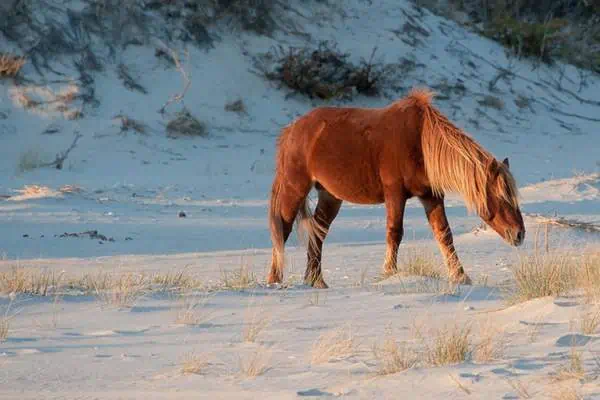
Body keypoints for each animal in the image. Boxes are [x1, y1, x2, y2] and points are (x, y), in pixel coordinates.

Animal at [268, 86, 524, 288]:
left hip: (330, 196)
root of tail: (291, 130)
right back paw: (274, 280)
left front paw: (461, 277)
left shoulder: (431, 197)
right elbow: (394, 233)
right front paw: (389, 273)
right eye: (502, 197)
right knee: (283, 228)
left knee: (318, 232)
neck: (420, 141)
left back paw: (316, 281)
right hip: (295, 187)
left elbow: (445, 234)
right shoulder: (395, 193)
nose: (520, 234)